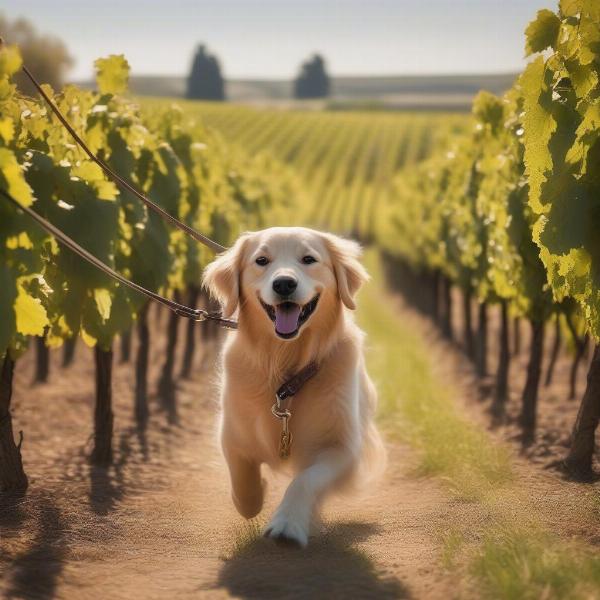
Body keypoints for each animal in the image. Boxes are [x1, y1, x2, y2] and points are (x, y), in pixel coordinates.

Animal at [204, 227, 386, 548]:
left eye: (308, 259)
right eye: (261, 260)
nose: (284, 283)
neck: (285, 365)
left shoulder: (342, 448)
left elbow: (305, 480)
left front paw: (287, 524)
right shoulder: (231, 433)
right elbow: (241, 475)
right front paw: (253, 498)